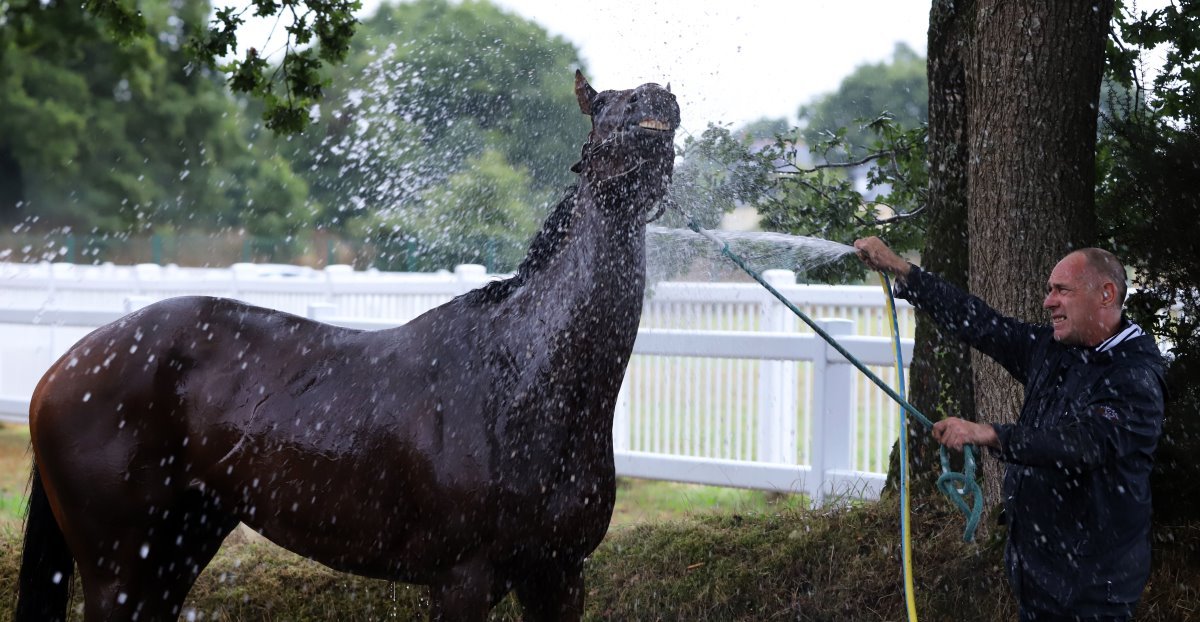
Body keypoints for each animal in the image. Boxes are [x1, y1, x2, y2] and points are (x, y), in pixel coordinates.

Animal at [16, 70, 678, 621]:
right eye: (606, 107)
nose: (657, 100)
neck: (522, 379)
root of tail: (61, 368)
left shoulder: (559, 575)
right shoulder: (464, 580)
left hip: (177, 553)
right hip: (118, 571)